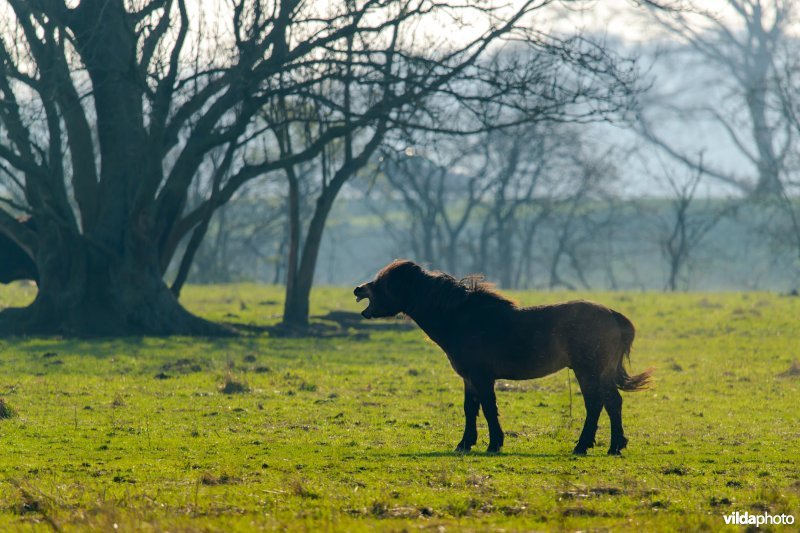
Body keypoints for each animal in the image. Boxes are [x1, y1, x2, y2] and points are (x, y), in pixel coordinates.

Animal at [354, 258, 648, 454]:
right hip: (599, 371)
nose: (358, 289)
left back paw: (583, 446)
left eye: (383, 281)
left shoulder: (482, 377)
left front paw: (494, 444)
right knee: (613, 402)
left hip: (587, 370)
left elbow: (488, 408)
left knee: (596, 403)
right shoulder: (469, 378)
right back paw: (615, 445)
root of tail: (612, 315)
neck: (462, 319)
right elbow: (470, 408)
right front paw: (465, 444)